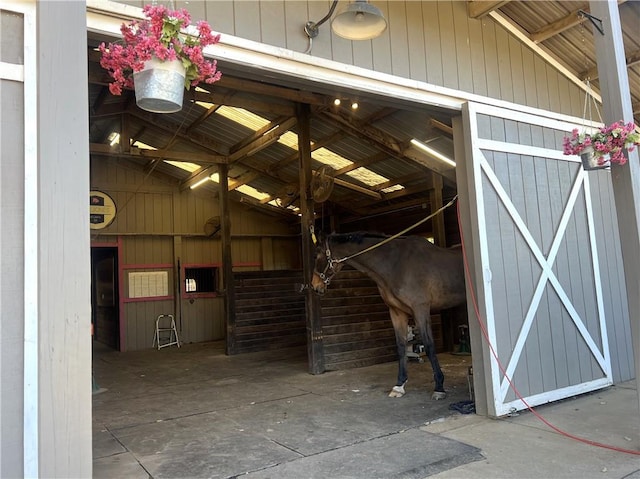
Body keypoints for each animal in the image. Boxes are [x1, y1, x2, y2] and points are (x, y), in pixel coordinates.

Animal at [310, 234, 464, 400]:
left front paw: (439, 387)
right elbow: (401, 346)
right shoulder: (397, 312)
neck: (397, 265)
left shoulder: (420, 309)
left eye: (316, 255)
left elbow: (429, 346)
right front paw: (399, 386)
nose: (315, 286)